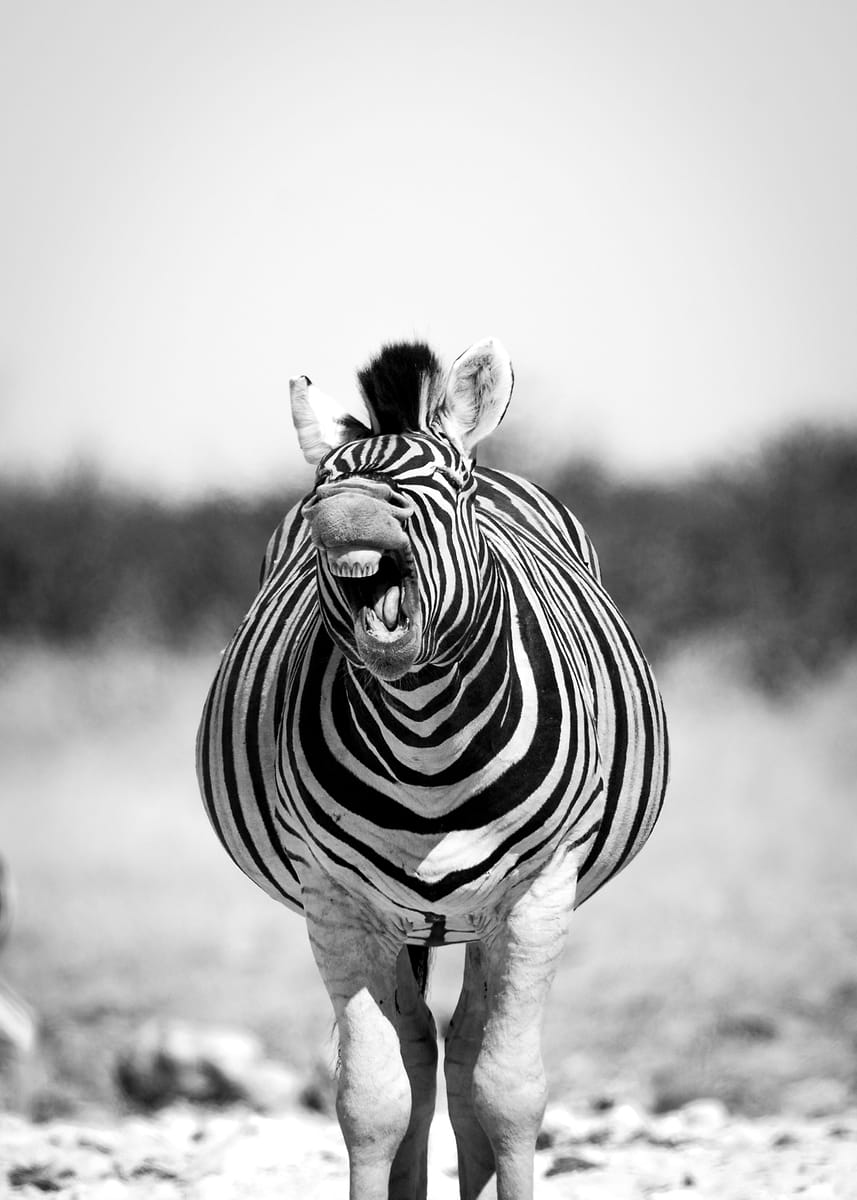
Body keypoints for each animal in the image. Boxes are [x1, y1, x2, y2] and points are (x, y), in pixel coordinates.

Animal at [197, 337, 669, 1200]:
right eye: (321, 485)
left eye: (448, 483)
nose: (339, 513)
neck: (426, 738)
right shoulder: (337, 903)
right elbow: (372, 1097)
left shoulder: (539, 893)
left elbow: (507, 1089)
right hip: (409, 921)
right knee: (420, 1049)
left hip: (483, 917)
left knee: (466, 1049)